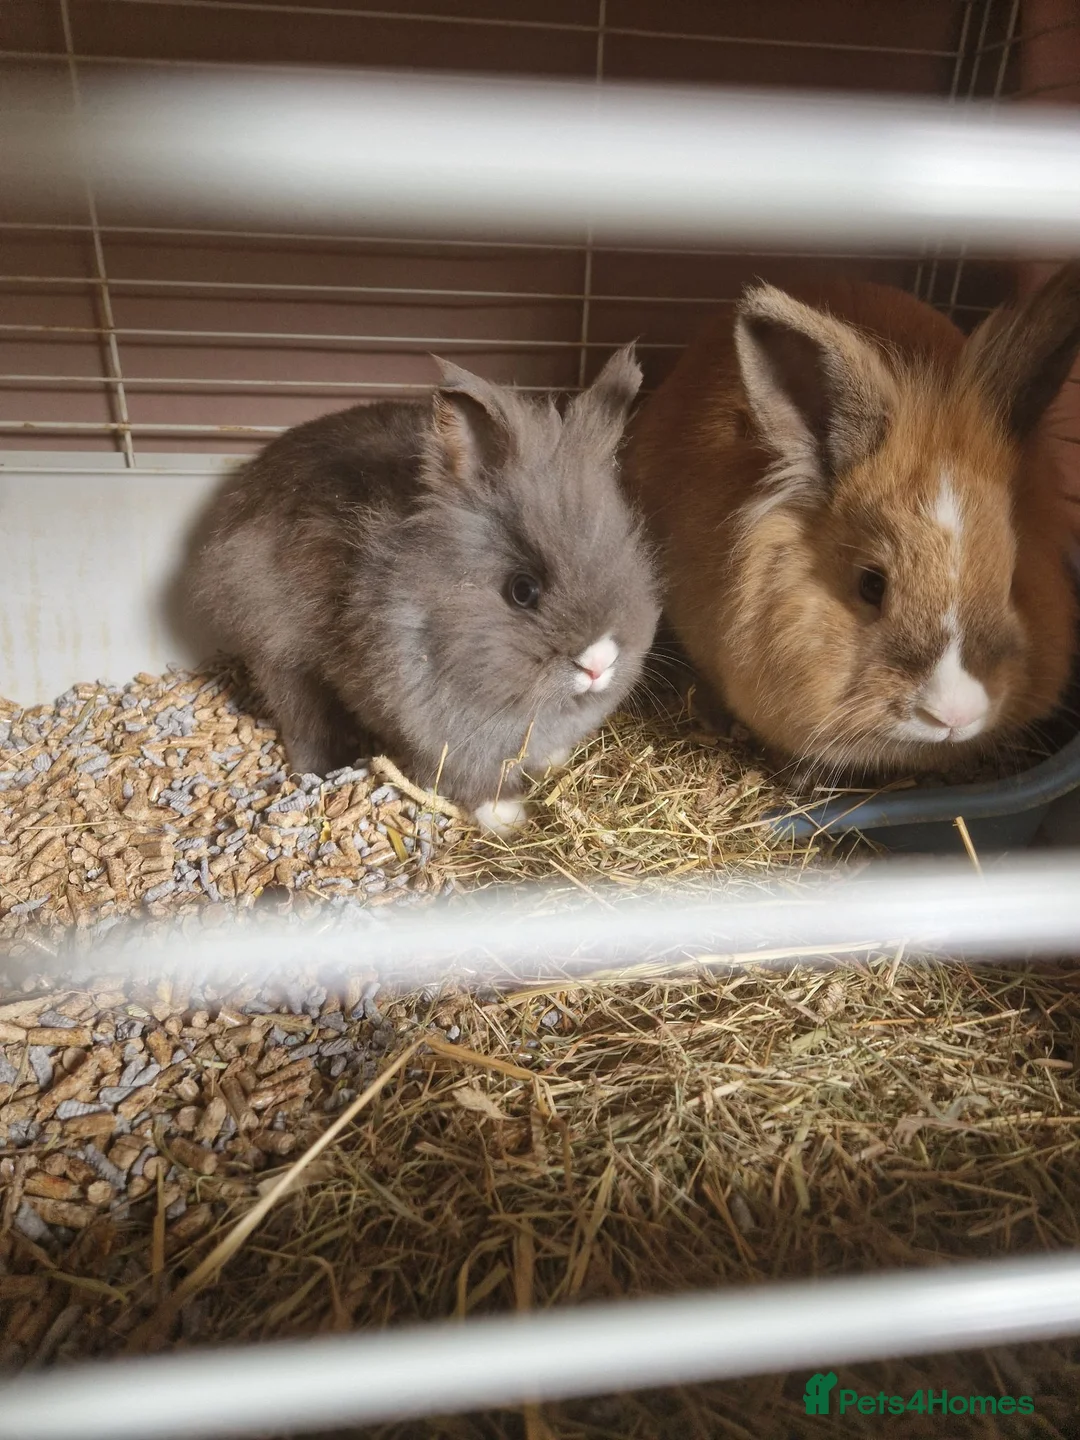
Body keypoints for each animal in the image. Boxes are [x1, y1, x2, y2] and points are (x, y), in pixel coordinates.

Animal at [186, 347, 660, 835]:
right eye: (523, 590)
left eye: (629, 557)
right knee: (301, 719)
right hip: (280, 656)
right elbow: (466, 779)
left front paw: (552, 764)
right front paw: (507, 818)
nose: (598, 662)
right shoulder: (440, 736)